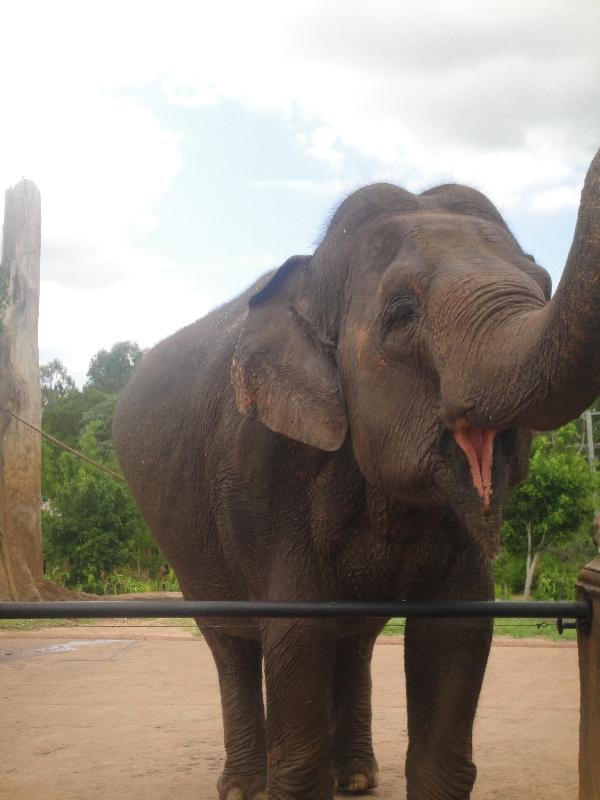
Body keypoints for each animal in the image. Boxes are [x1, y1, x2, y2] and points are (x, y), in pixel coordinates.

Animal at [112, 145, 600, 800]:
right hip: (185, 546)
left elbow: (457, 638)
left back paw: (359, 778)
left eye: (544, 284)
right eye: (402, 313)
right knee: (231, 642)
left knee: (354, 638)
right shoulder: (265, 476)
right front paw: (289, 775)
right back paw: (245, 785)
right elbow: (295, 639)